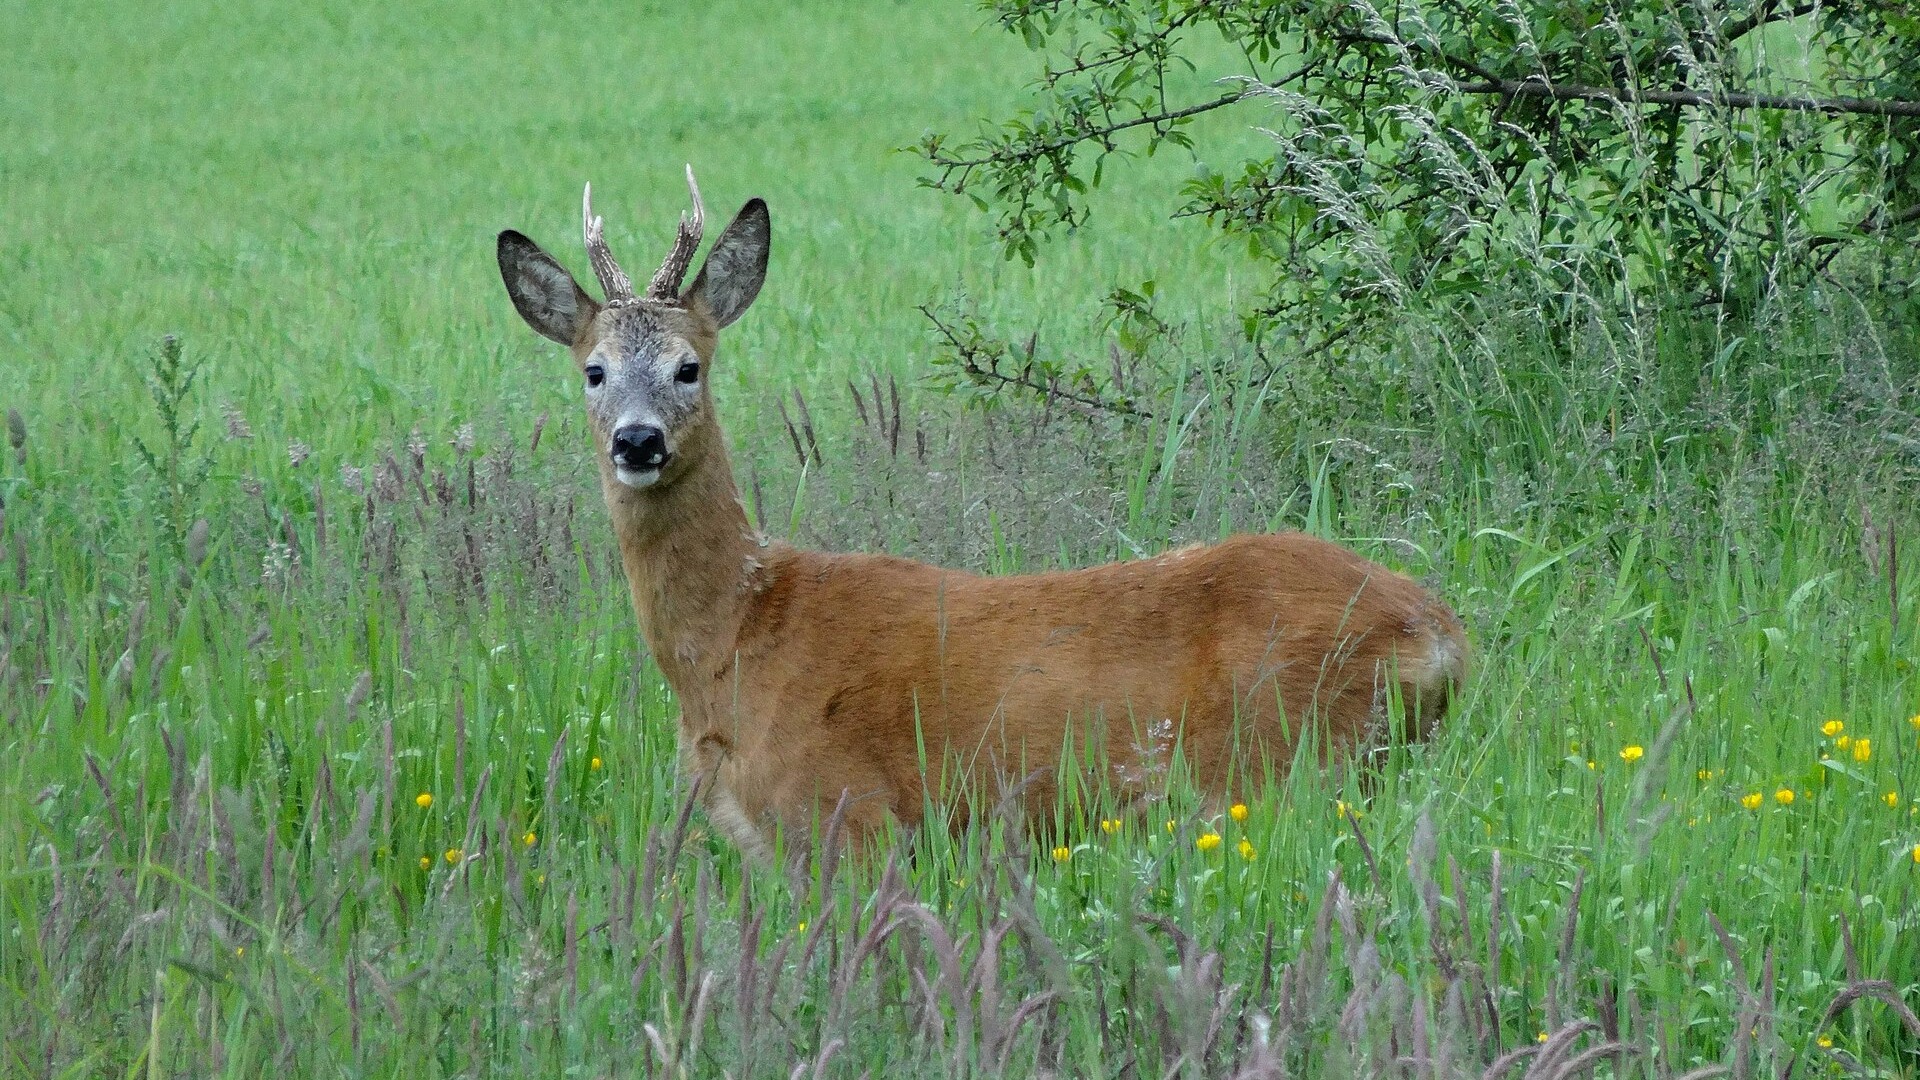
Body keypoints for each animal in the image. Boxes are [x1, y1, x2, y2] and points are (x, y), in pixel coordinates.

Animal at [495, 168, 1467, 860]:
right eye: (594, 370)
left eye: (688, 366)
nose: (638, 442)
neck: (737, 642)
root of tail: (1442, 634)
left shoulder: (848, 816)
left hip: (1278, 766)